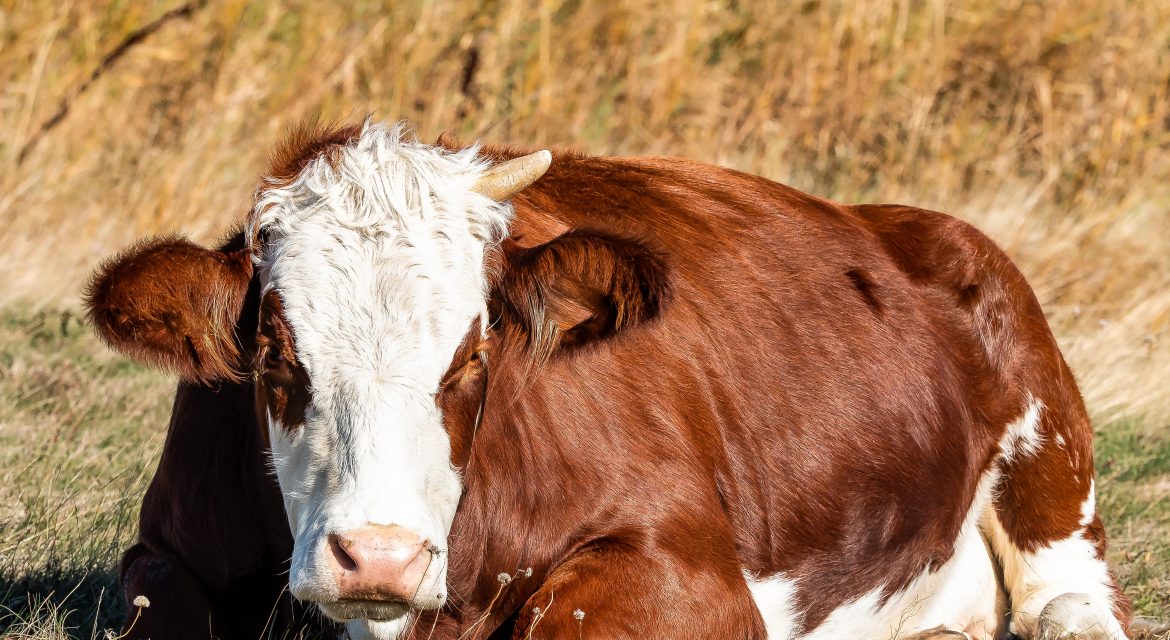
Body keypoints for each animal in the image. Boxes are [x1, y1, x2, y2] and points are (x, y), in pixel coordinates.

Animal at [85, 119, 1132, 640]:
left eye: (474, 357)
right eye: (277, 355)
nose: (378, 557)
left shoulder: (687, 568)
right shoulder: (166, 548)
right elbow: (157, 611)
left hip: (1051, 467)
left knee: (1070, 605)